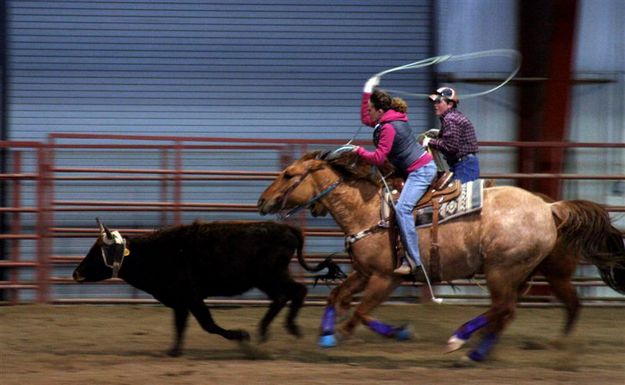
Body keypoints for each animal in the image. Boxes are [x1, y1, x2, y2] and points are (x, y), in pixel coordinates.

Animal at [255, 152, 624, 362]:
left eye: (289, 175)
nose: (262, 201)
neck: (367, 210)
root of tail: (549, 207)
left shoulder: (386, 277)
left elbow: (359, 311)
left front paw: (351, 335)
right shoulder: (364, 272)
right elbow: (338, 298)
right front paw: (327, 334)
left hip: (502, 270)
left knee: (505, 308)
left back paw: (463, 343)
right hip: (520, 273)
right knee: (508, 311)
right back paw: (476, 347)